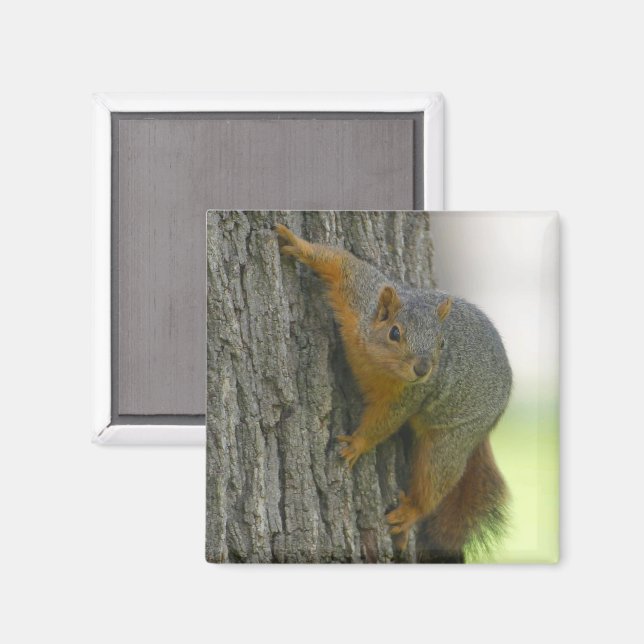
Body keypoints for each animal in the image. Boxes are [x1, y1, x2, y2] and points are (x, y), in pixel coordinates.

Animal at [275, 223, 512, 563]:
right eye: (395, 332)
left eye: (442, 342)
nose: (423, 369)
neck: (377, 363)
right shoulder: (361, 295)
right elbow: (342, 263)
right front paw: (297, 244)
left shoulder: (408, 396)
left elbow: (385, 422)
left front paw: (357, 444)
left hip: (451, 439)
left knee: (436, 480)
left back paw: (409, 514)